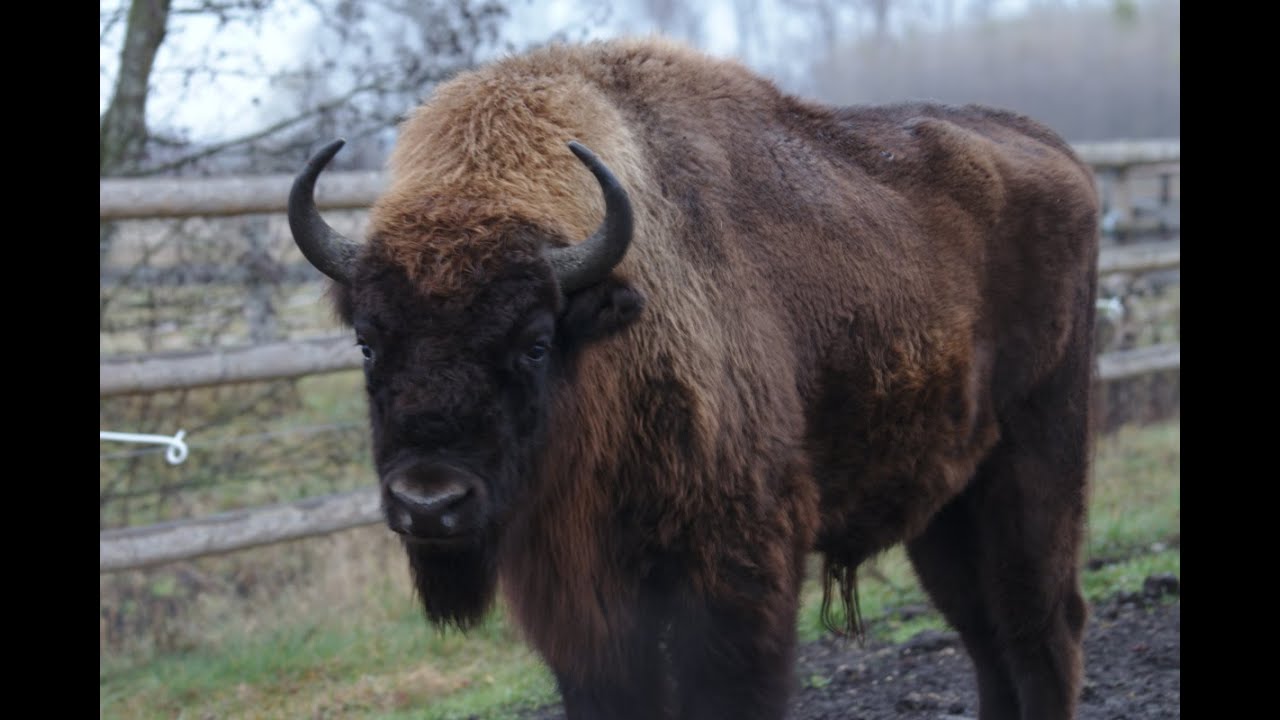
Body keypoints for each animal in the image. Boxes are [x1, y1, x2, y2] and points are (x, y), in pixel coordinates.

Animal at [288, 38, 1099, 720]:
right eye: (367, 343)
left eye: (535, 342)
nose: (429, 503)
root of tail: (1062, 155)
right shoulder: (580, 602)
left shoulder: (735, 574)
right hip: (942, 504)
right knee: (985, 636)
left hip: (1034, 471)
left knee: (1039, 628)